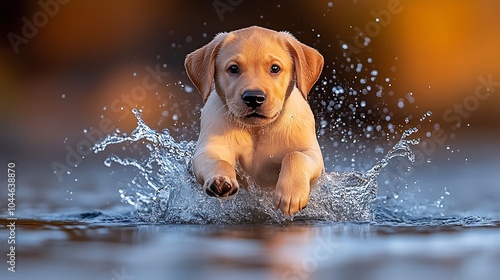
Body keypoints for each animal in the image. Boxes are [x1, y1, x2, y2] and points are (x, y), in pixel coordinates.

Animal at [185, 25, 324, 214]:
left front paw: (291, 194)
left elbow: (295, 156)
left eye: (275, 68)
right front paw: (220, 179)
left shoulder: (312, 154)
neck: (257, 130)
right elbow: (218, 160)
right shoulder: (209, 149)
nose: (253, 98)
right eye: (233, 69)